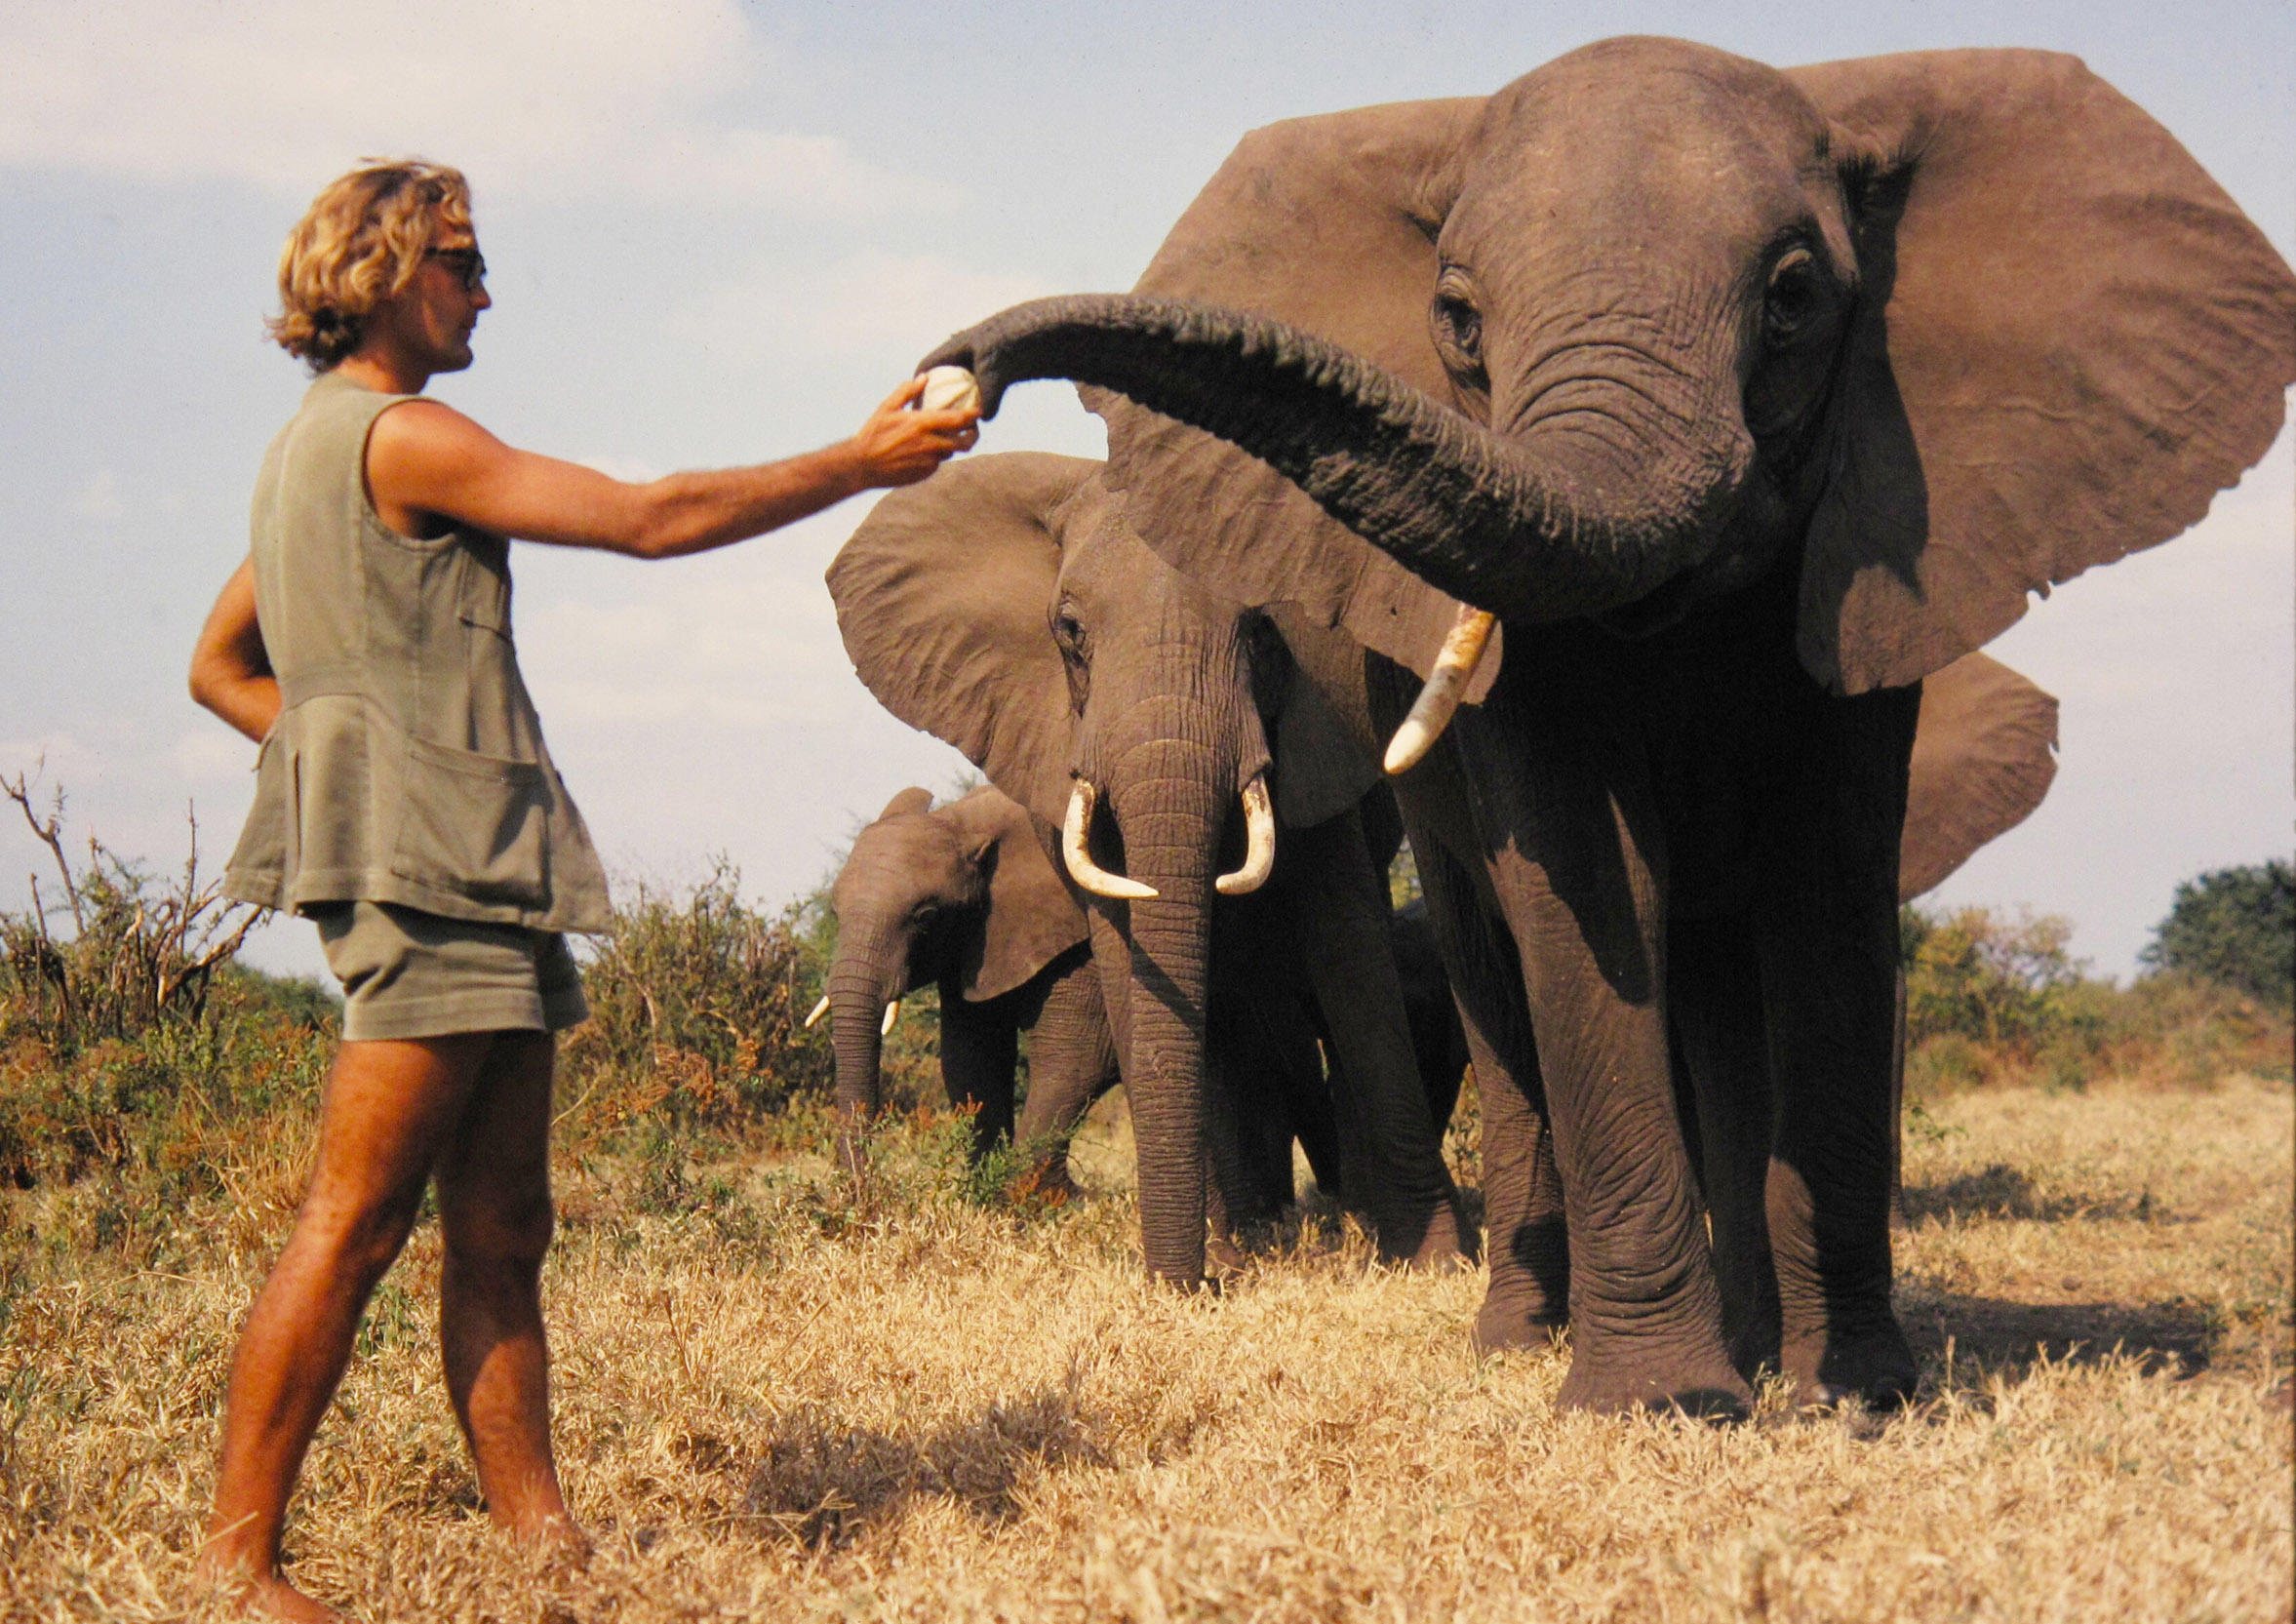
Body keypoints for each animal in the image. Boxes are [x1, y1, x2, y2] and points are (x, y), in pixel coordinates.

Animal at [817, 785, 1120, 1185]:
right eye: (835, 913)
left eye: (926, 917)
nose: (859, 1184)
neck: (964, 823)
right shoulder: (974, 939)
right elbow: (971, 1057)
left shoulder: (1081, 933)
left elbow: (1080, 1053)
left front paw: (1048, 1196)